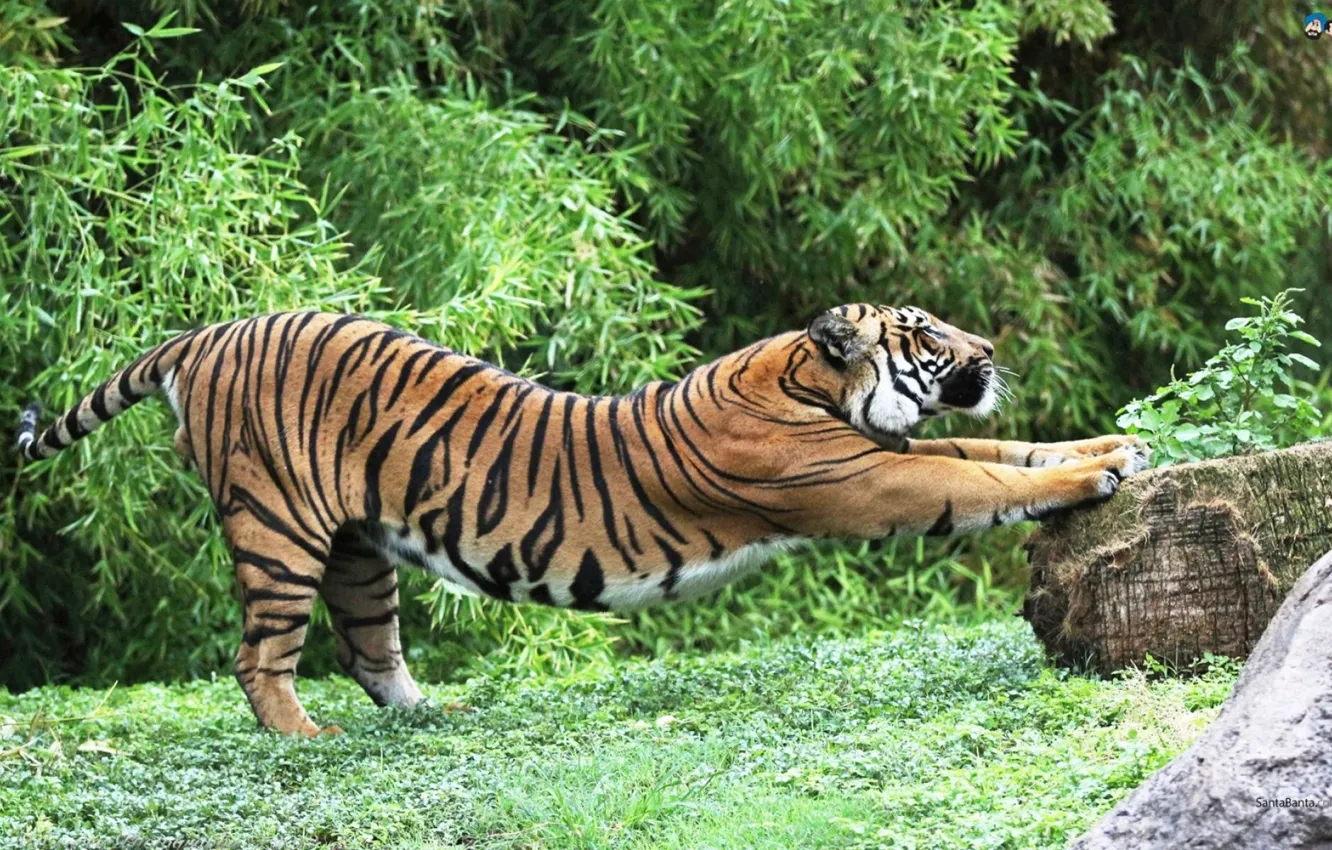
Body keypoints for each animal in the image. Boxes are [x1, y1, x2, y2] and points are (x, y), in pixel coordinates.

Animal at [15, 304, 1148, 736]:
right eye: (924, 334)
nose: (990, 348)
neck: (808, 384)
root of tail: (206, 331)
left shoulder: (889, 453)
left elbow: (1004, 452)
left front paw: (1114, 445)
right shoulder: (869, 479)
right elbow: (982, 481)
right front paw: (1096, 472)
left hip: (358, 548)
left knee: (370, 648)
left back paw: (432, 714)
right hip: (279, 530)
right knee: (260, 656)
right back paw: (303, 733)